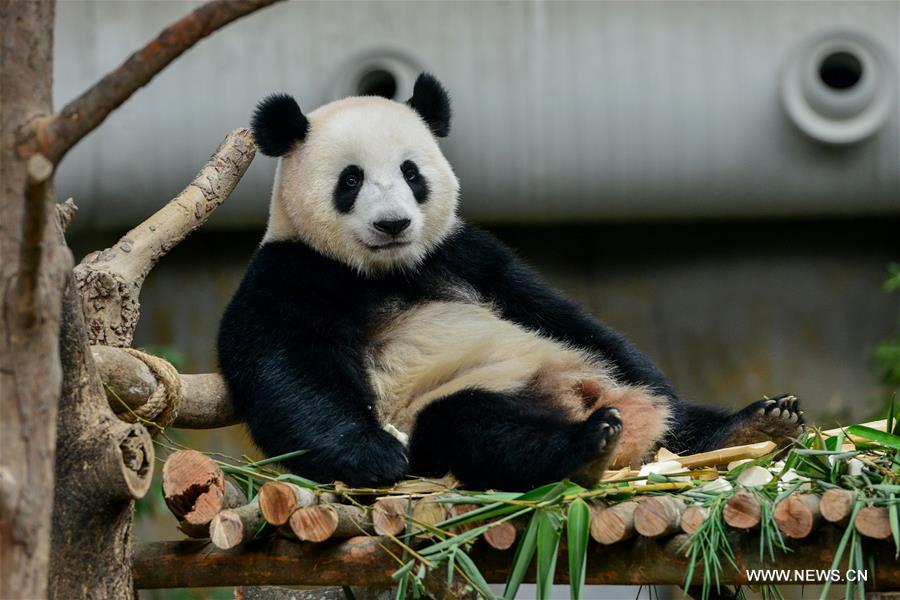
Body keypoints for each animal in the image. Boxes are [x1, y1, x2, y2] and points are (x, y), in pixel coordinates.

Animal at [217, 73, 804, 490]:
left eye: (411, 172)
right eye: (351, 179)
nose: (393, 224)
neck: (389, 269)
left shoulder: (464, 254)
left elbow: (553, 310)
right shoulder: (291, 272)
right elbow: (289, 369)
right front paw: (373, 455)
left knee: (683, 424)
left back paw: (756, 423)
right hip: (469, 398)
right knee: (478, 429)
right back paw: (585, 443)